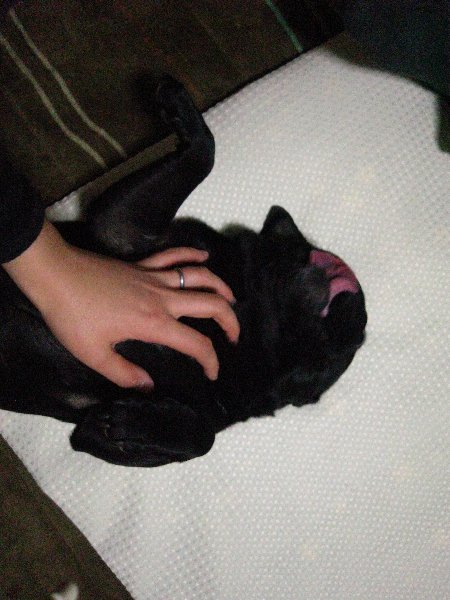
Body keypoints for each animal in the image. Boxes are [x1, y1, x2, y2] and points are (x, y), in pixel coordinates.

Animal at [0, 76, 367, 467]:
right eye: (299, 252)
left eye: (352, 341)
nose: (350, 287)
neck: (249, 322)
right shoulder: (119, 228)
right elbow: (204, 153)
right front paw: (180, 106)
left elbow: (202, 437)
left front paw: (126, 425)